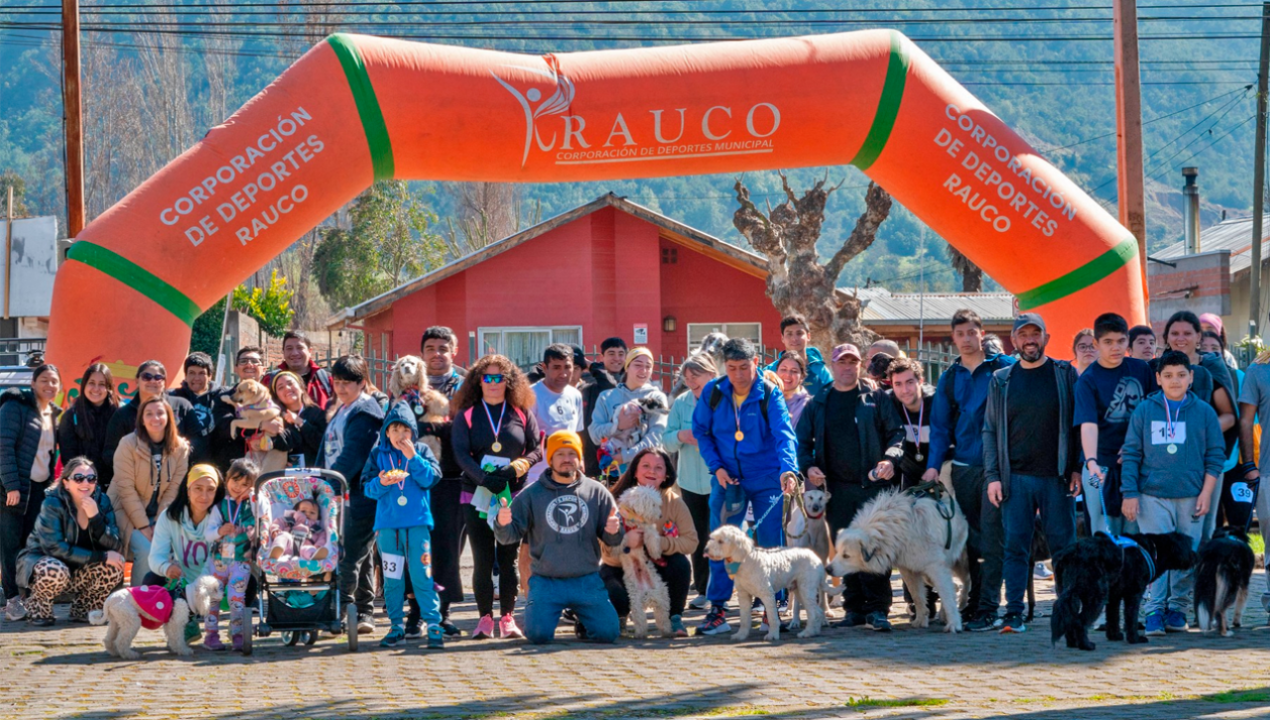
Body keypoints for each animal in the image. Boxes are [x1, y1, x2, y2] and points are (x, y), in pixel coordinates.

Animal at [92, 573, 223, 660]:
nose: (224, 593)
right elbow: (178, 638)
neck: (185, 596)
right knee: (121, 641)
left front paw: (175, 649)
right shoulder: (176, 623)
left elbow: (173, 638)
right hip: (131, 621)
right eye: (216, 589)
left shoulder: (170, 623)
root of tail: (109, 599)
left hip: (116, 621)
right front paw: (184, 650)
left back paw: (114, 652)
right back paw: (129, 655)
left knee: (109, 639)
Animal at [617, 487, 675, 640]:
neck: (633, 518)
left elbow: (651, 535)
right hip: (635, 600)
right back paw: (640, 634)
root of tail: (648, 593)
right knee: (641, 619)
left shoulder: (646, 528)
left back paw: (667, 632)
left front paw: (654, 551)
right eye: (653, 505)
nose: (660, 515)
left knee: (662, 616)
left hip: (662, 595)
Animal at [701, 523, 838, 642]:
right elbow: (744, 618)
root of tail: (817, 559)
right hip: (800, 589)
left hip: (806, 588)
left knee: (814, 612)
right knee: (817, 611)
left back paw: (807, 633)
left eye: (721, 541)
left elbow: (772, 617)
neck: (746, 560)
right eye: (712, 538)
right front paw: (741, 635)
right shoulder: (743, 595)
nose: (706, 550)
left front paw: (772, 635)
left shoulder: (767, 593)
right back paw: (814, 632)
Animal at [828, 487, 965, 634]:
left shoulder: (936, 567)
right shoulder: (909, 569)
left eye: (846, 555)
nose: (827, 569)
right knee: (954, 586)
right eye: (838, 552)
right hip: (929, 575)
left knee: (965, 584)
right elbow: (917, 595)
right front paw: (921, 620)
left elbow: (947, 596)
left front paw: (954, 624)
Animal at [1051, 530, 1198, 655]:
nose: (1196, 557)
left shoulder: (1114, 597)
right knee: (1080, 621)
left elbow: (1113, 617)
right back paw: (1086, 645)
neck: (1154, 549)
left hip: (1068, 592)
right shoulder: (1134, 594)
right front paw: (1135, 639)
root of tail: (1070, 554)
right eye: (1188, 546)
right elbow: (1130, 618)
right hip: (1096, 596)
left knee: (1068, 615)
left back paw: (1072, 643)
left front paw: (1114, 636)